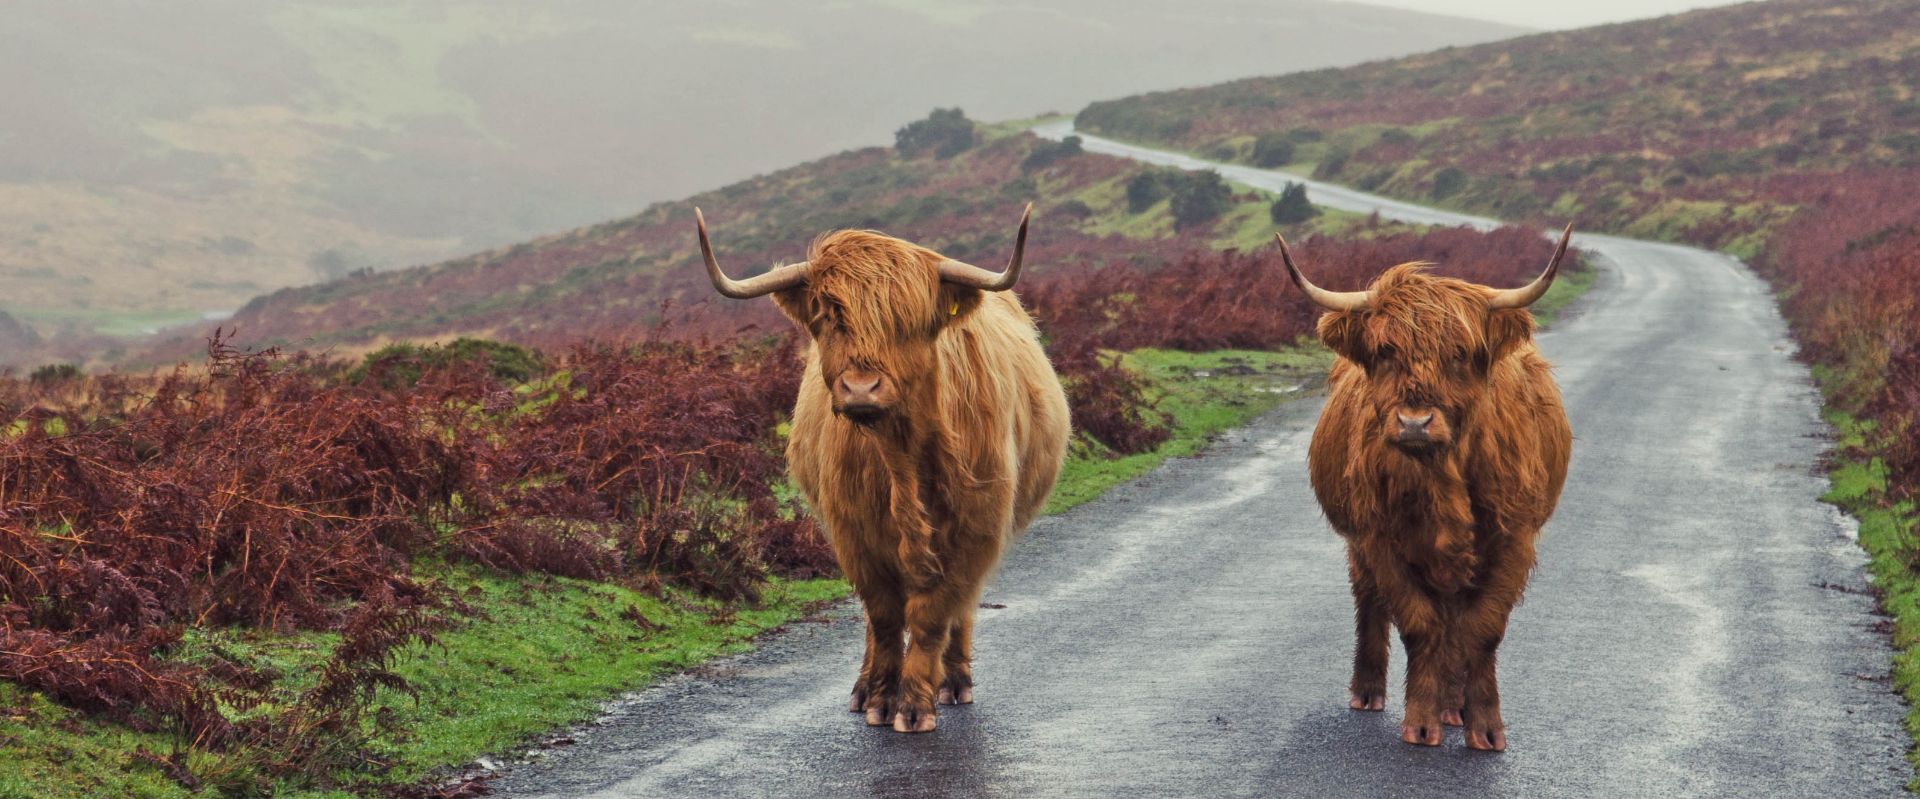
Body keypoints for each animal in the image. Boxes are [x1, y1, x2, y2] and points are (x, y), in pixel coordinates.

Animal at [698, 207, 1075, 737]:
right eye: (829, 316)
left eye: (909, 321)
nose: (861, 389)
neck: (900, 458)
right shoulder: (853, 535)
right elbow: (883, 617)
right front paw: (880, 698)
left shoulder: (975, 530)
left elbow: (933, 616)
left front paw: (915, 705)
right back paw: (864, 689)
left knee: (960, 611)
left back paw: (954, 681)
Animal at [1290, 224, 1574, 749]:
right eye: (1385, 352)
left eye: (1459, 354)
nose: (1415, 423)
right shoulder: (1380, 538)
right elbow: (1420, 625)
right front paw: (1421, 724)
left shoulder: (1515, 538)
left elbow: (1482, 629)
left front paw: (1485, 727)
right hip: (1359, 541)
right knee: (1372, 601)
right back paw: (1370, 692)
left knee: (1456, 623)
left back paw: (1453, 706)